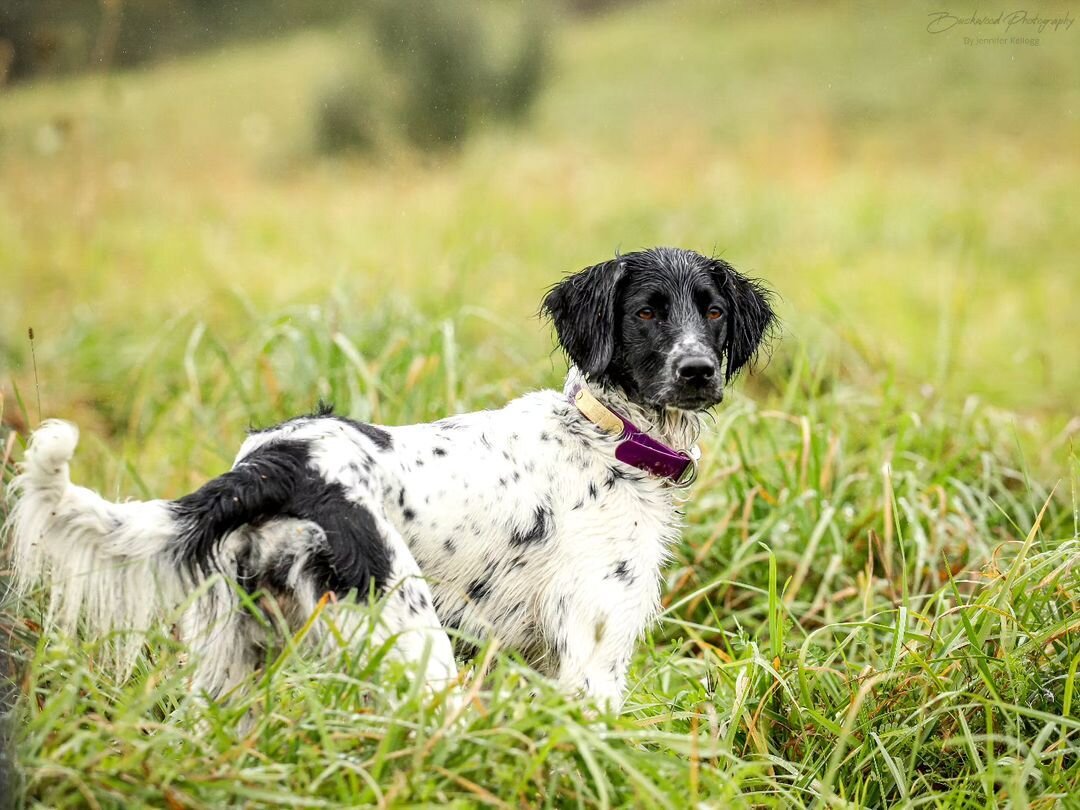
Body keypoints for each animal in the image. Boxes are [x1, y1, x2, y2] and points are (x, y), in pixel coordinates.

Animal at [4, 247, 773, 708]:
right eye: (645, 312)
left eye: (712, 310)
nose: (697, 370)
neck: (608, 436)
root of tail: (276, 461)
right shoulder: (593, 657)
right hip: (411, 636)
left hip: (228, 665)